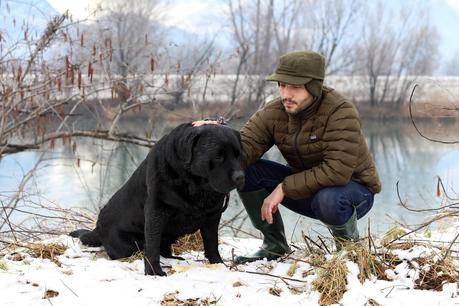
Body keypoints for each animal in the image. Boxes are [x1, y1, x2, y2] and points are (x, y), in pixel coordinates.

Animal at [69, 123, 244, 276]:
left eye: (239, 155)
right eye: (218, 156)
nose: (240, 177)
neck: (195, 185)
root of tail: (98, 228)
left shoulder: (213, 216)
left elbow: (212, 243)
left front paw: (219, 264)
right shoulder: (156, 211)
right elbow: (152, 246)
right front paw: (154, 272)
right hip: (128, 244)